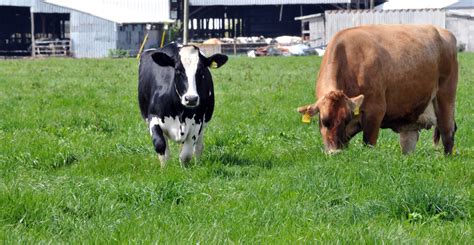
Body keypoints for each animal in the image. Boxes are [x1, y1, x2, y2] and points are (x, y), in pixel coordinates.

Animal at [298, 25, 458, 155]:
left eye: (346, 120)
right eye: (324, 121)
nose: (335, 153)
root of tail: (443, 31)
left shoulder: (375, 112)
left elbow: (368, 144)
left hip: (446, 98)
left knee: (448, 133)